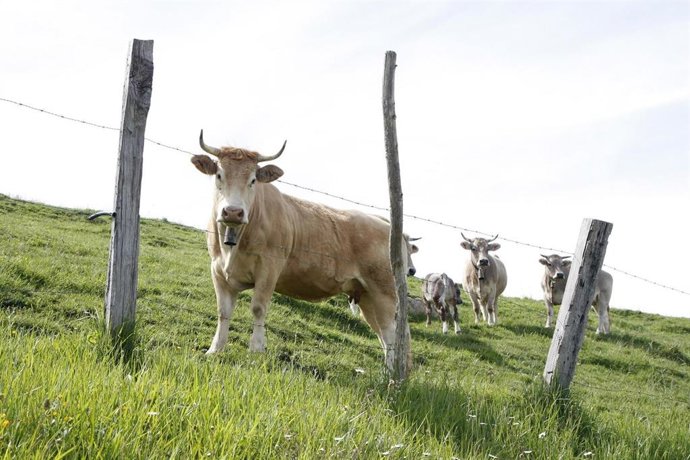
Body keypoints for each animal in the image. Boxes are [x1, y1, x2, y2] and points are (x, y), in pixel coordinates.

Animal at [191, 130, 412, 372]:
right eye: (219, 175)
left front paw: (256, 350)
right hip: (366, 296)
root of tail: (387, 224)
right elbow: (223, 312)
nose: (233, 212)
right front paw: (214, 350)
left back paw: (392, 374)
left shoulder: (269, 269)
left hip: (385, 291)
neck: (233, 245)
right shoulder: (217, 270)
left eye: (253, 180)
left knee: (391, 332)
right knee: (383, 333)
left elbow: (258, 308)